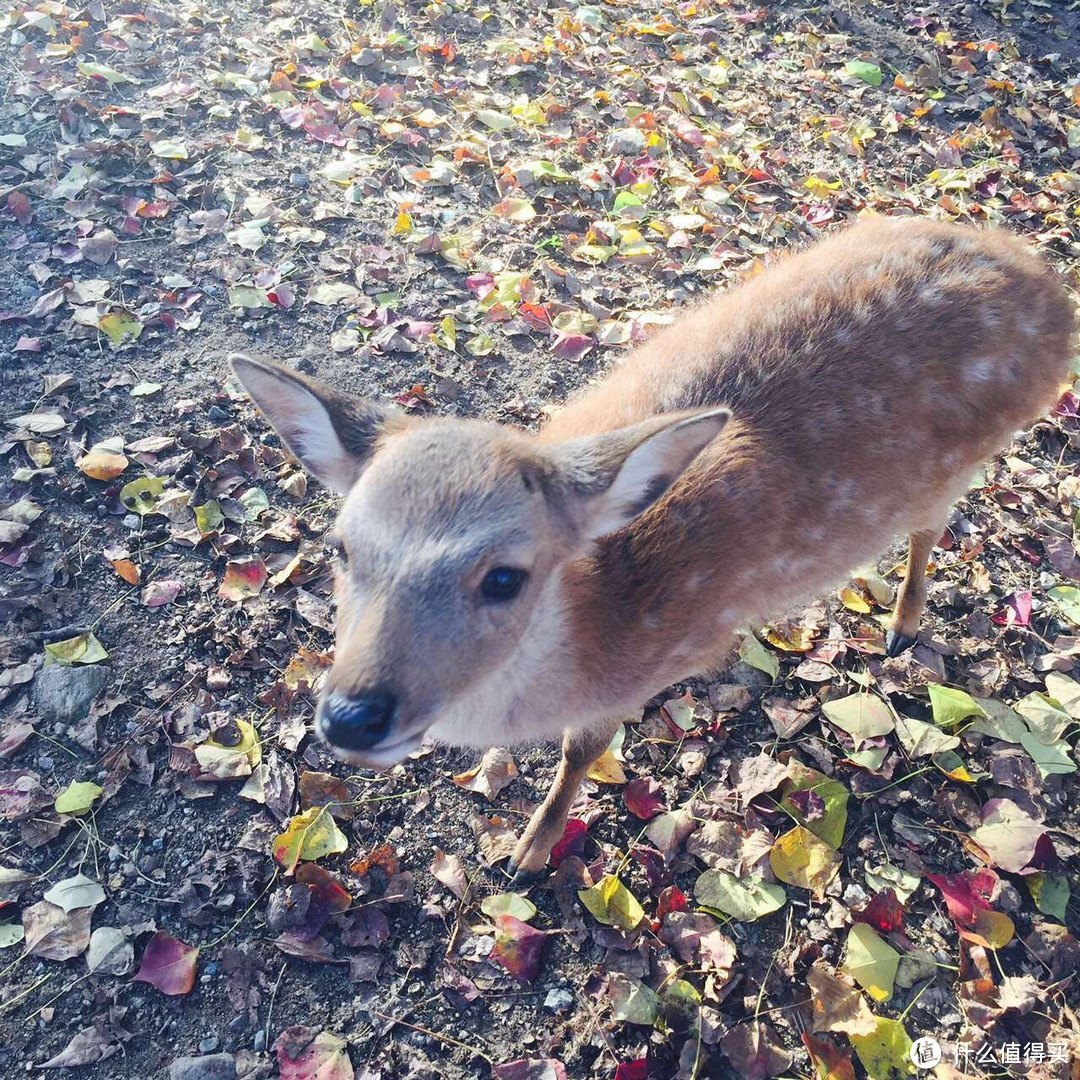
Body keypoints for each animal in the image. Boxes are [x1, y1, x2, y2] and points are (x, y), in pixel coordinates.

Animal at [227, 214, 1071, 881]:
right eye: (342, 547)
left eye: (505, 577)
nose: (352, 717)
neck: (599, 621)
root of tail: (1051, 289)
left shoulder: (652, 668)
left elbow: (583, 750)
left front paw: (530, 851)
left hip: (963, 458)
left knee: (934, 524)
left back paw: (901, 626)